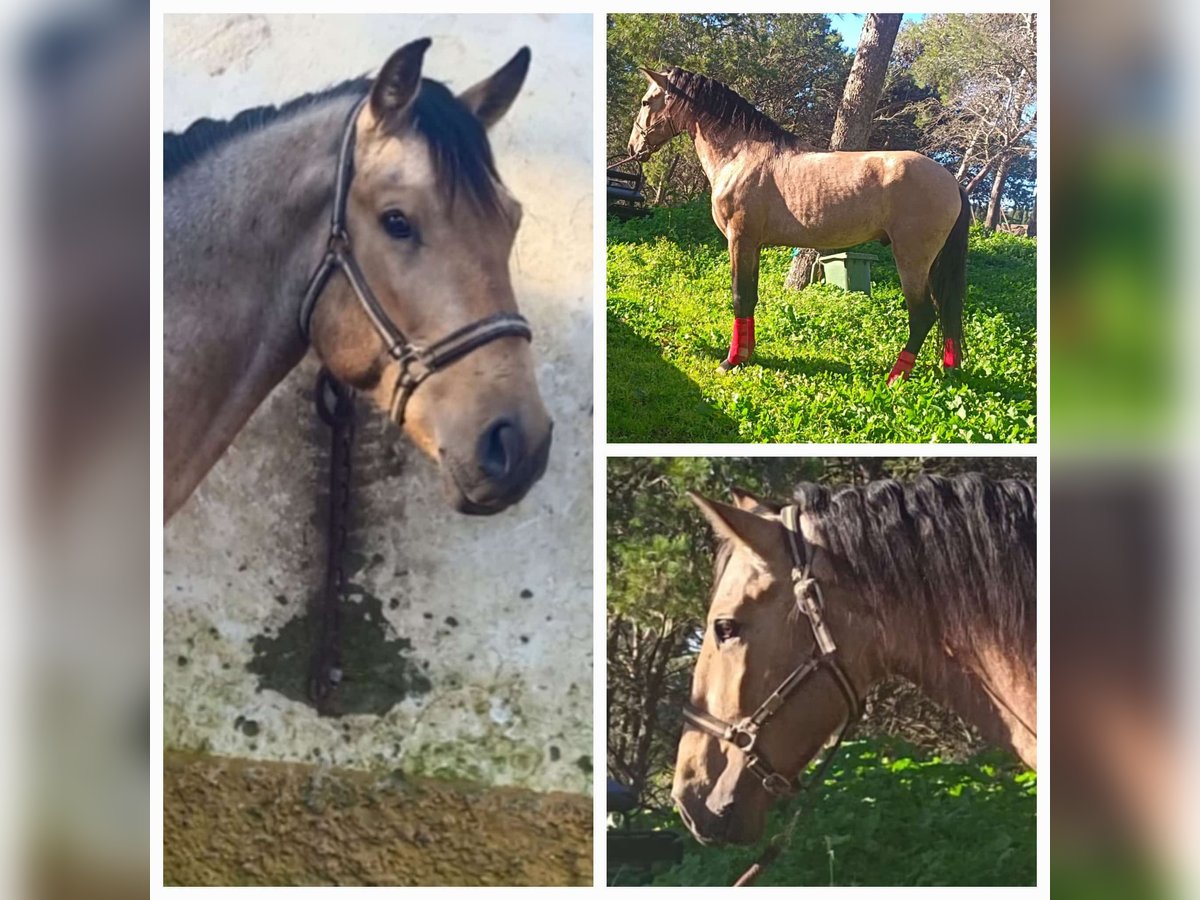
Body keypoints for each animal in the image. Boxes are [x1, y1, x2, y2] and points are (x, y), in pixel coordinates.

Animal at [624, 66, 969, 384]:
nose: (632, 148)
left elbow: (739, 296)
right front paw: (747, 355)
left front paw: (730, 361)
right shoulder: (753, 245)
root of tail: (951, 180)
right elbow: (751, 296)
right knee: (947, 310)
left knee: (923, 315)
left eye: (646, 101)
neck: (742, 154)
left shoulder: (739, 240)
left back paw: (896, 377)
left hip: (911, 259)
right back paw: (950, 371)